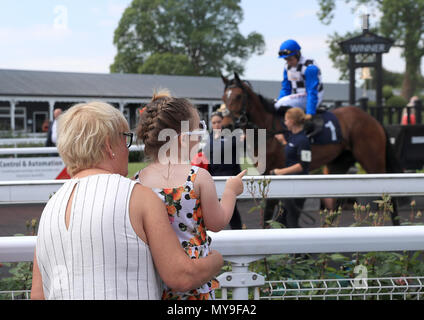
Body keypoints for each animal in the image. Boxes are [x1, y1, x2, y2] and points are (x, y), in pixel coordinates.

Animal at [220, 74, 402, 226]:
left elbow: (270, 212)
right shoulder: (267, 172)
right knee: (336, 201)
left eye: (238, 96)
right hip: (337, 164)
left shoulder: (277, 171)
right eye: (224, 97)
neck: (269, 131)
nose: (226, 125)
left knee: (389, 196)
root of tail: (373, 120)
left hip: (373, 161)